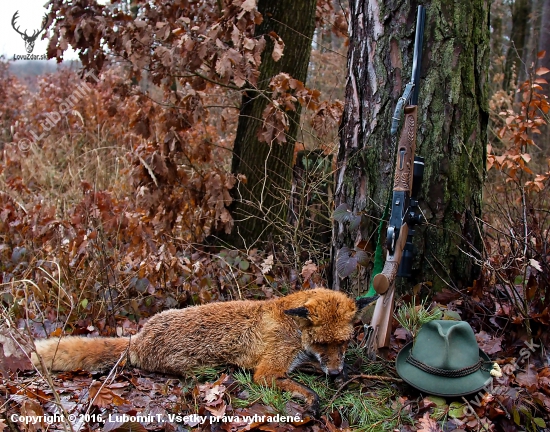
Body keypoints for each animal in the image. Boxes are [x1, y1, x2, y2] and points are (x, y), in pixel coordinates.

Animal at [31, 288, 380, 414]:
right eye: (322, 343)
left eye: (344, 342)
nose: (335, 372)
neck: (291, 326)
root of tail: (137, 338)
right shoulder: (267, 371)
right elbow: (303, 386)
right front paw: (313, 398)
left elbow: (309, 369)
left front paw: (342, 374)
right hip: (197, 366)